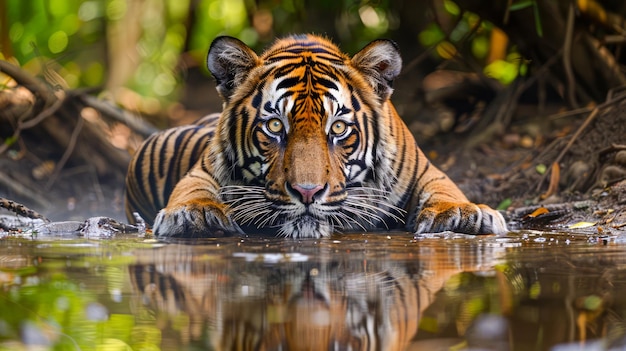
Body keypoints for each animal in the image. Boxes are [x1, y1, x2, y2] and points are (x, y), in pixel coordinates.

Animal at [123, 33, 508, 239]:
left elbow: (446, 190)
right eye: (275, 126)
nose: (307, 193)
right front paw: (194, 215)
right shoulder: (202, 170)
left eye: (338, 127)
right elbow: (192, 191)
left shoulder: (427, 171)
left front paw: (462, 213)